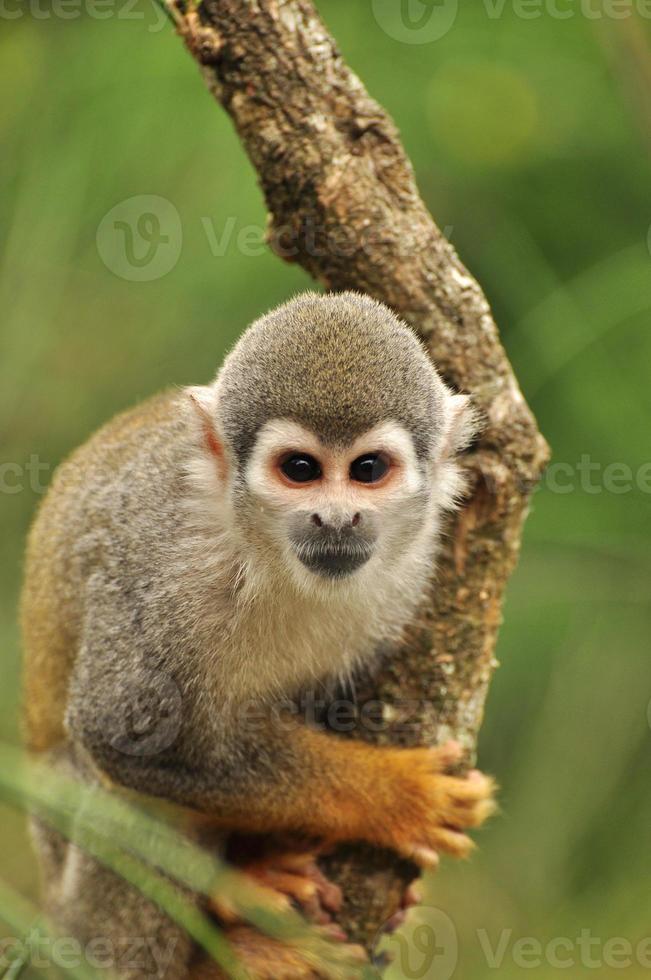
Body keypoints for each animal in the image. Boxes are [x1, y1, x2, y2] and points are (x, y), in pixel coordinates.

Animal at [22, 292, 496, 980]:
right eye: (300, 469)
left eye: (367, 470)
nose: (336, 518)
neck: (265, 557)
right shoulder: (158, 568)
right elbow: (121, 734)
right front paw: (393, 794)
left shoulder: (409, 576)